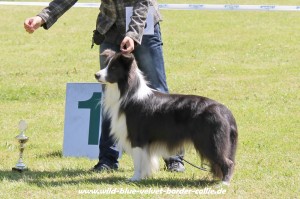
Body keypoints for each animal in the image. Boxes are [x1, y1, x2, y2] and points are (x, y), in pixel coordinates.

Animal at [95, 49, 238, 185]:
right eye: (106, 64)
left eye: (114, 67)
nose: (96, 75)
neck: (128, 93)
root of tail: (225, 110)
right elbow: (146, 161)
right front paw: (144, 176)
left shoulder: (137, 138)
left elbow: (138, 161)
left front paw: (134, 178)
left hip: (210, 141)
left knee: (228, 162)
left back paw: (224, 183)